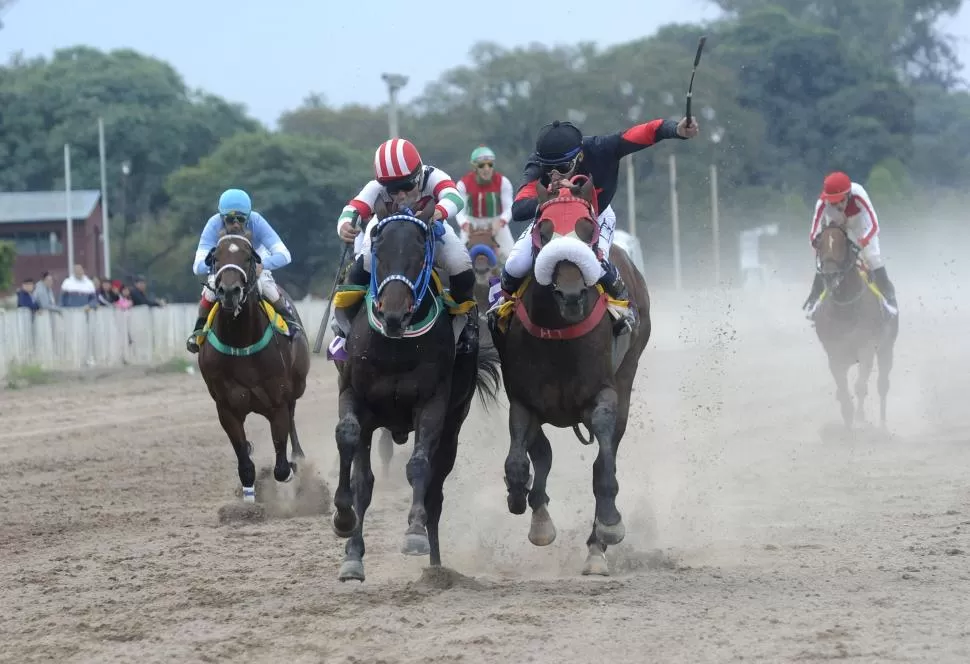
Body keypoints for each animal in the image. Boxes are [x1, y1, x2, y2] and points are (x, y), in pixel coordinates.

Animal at [199, 228, 312, 504]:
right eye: (215, 257)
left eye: (248, 257)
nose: (229, 291)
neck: (241, 342)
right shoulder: (226, 407)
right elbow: (244, 461)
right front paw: (249, 498)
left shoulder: (277, 401)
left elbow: (281, 465)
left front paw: (290, 468)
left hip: (297, 385)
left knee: (292, 418)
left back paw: (298, 458)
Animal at [330, 201, 500, 580]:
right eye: (378, 250)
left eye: (421, 253)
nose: (393, 314)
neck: (395, 346)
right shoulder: (354, 397)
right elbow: (350, 444)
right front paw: (345, 526)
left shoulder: (432, 404)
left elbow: (419, 466)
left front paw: (414, 534)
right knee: (367, 480)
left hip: (454, 425)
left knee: (436, 489)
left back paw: (436, 567)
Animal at [492, 176, 652, 576]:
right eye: (544, 231)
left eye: (586, 228)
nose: (571, 294)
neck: (559, 335)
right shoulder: (523, 399)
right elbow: (521, 460)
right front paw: (525, 503)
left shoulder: (604, 395)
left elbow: (604, 466)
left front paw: (608, 529)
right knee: (542, 454)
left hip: (629, 373)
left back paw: (596, 548)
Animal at [808, 224, 892, 430]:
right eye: (820, 243)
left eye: (842, 244)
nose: (830, 275)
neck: (844, 310)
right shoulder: (834, 352)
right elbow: (842, 390)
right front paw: (848, 418)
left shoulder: (867, 348)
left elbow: (860, 386)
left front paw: (860, 418)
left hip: (887, 348)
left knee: (882, 385)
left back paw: (883, 424)